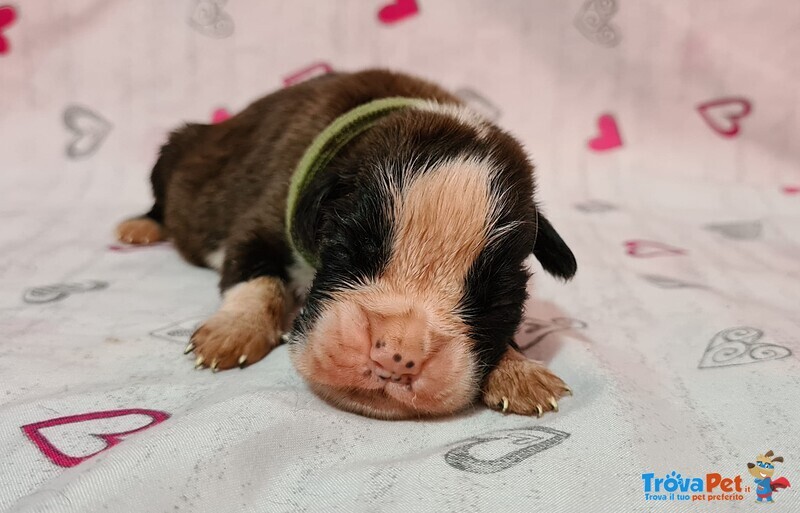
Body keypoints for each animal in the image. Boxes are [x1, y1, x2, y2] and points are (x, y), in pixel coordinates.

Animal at [117, 69, 576, 420]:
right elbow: (257, 279)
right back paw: (141, 226)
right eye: (352, 251)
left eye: (492, 298)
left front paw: (518, 370)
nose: (396, 359)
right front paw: (233, 332)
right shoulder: (262, 221)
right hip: (174, 151)